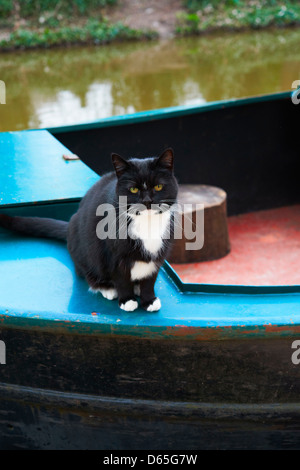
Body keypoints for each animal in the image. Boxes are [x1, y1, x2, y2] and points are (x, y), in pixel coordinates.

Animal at [0, 149, 178, 312]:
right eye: (133, 189)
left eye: (158, 186)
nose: (147, 201)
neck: (147, 223)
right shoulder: (112, 255)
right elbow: (121, 278)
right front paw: (126, 299)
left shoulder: (158, 255)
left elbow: (150, 278)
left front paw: (149, 300)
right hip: (82, 250)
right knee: (85, 272)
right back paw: (107, 288)